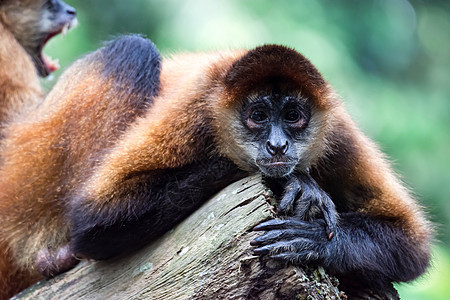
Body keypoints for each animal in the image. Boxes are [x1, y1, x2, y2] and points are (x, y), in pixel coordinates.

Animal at [0, 34, 430, 298]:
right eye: (258, 115)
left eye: (293, 115)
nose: (277, 145)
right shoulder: (195, 104)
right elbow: (93, 224)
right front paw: (298, 183)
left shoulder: (336, 131)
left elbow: (412, 247)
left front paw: (310, 239)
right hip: (27, 166)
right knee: (133, 48)